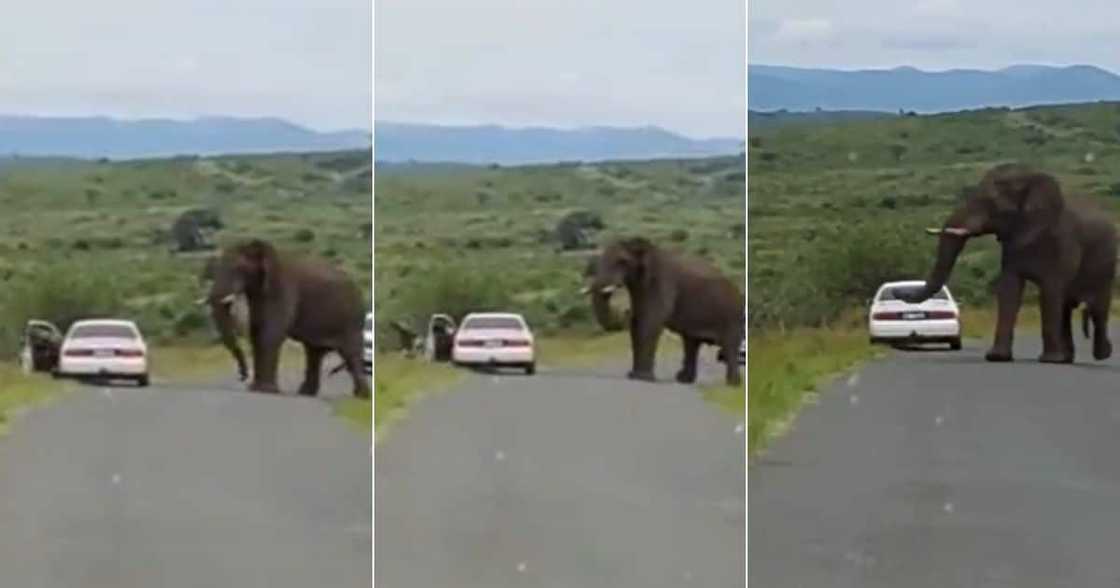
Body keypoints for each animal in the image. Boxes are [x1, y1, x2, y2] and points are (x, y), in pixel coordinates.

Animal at [201, 236, 371, 396]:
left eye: (238, 268)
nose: (242, 375)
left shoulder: (282, 289)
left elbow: (270, 333)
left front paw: (266, 390)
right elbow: (256, 333)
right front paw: (255, 389)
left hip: (352, 320)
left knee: (350, 353)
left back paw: (361, 396)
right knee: (314, 353)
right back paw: (306, 393)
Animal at [586, 237, 743, 385]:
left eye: (622, 262)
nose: (625, 311)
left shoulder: (661, 284)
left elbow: (649, 323)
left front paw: (643, 378)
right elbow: (637, 324)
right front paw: (633, 376)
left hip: (732, 315)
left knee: (729, 345)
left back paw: (732, 384)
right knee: (691, 343)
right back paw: (683, 379)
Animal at [904, 161, 1115, 362]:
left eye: (990, 202)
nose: (902, 294)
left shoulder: (1062, 241)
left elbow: (1050, 291)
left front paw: (1049, 360)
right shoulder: (1013, 242)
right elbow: (1009, 289)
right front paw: (997, 357)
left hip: (1108, 262)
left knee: (1097, 307)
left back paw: (1100, 355)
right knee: (1067, 308)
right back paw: (1067, 359)